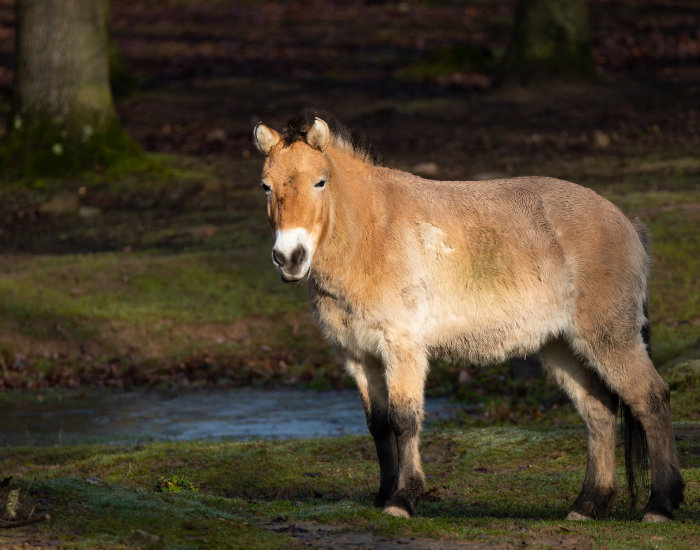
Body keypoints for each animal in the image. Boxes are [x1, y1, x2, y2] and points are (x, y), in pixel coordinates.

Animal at [252, 108, 684, 522]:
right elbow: (378, 425)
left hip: (610, 339)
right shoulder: (358, 357)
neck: (372, 232)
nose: (289, 259)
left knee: (650, 398)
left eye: (320, 182)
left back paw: (660, 506)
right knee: (599, 412)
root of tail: (628, 225)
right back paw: (588, 505)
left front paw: (403, 500)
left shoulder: (402, 348)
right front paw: (383, 495)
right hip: (562, 346)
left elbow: (404, 419)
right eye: (266, 186)